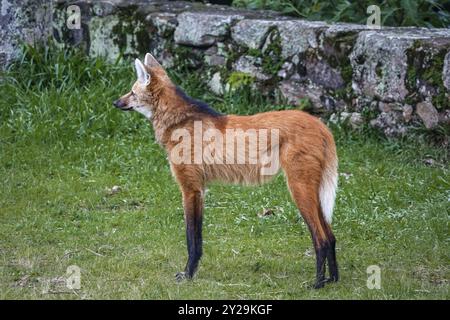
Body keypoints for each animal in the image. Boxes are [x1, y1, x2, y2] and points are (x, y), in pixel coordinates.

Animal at [112, 53, 338, 288]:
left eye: (132, 92)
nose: (115, 102)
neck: (177, 122)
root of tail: (321, 125)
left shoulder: (191, 189)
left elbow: (191, 238)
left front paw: (187, 274)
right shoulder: (200, 189)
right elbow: (197, 238)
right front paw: (191, 272)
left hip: (299, 188)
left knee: (321, 238)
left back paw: (318, 283)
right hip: (313, 190)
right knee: (331, 236)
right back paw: (333, 279)